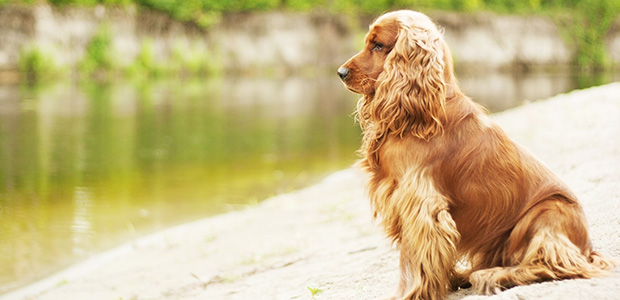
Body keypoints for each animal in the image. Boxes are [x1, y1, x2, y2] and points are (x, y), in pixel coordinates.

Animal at [340, 9, 616, 300]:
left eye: (378, 45)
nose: (340, 72)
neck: (424, 112)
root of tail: (587, 247)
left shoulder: (420, 203)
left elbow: (412, 260)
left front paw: (409, 294)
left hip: (545, 214)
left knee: (549, 263)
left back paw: (493, 274)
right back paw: (468, 274)